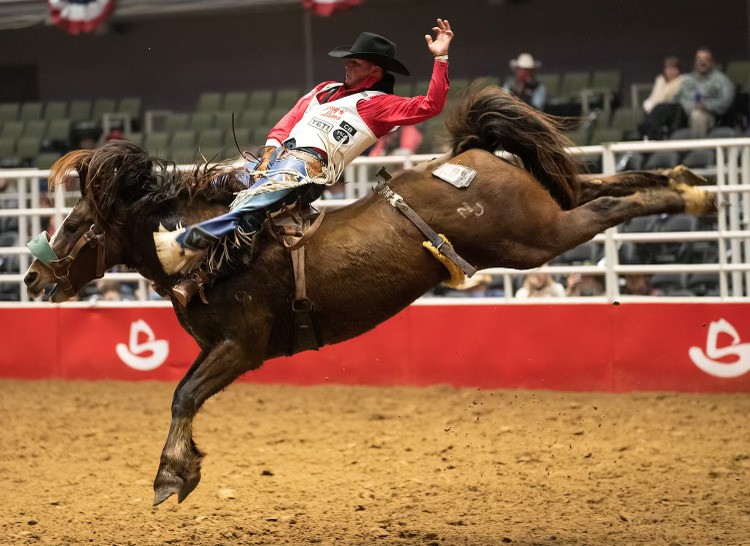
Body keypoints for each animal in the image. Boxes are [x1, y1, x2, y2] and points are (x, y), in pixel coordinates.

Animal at [23, 86, 716, 506]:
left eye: (78, 225)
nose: (31, 279)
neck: (219, 251)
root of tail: (470, 156)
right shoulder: (216, 348)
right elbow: (182, 392)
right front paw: (182, 468)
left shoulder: (241, 347)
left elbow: (184, 394)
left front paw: (172, 475)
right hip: (545, 213)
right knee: (597, 183)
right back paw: (689, 182)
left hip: (537, 239)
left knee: (608, 206)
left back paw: (686, 198)